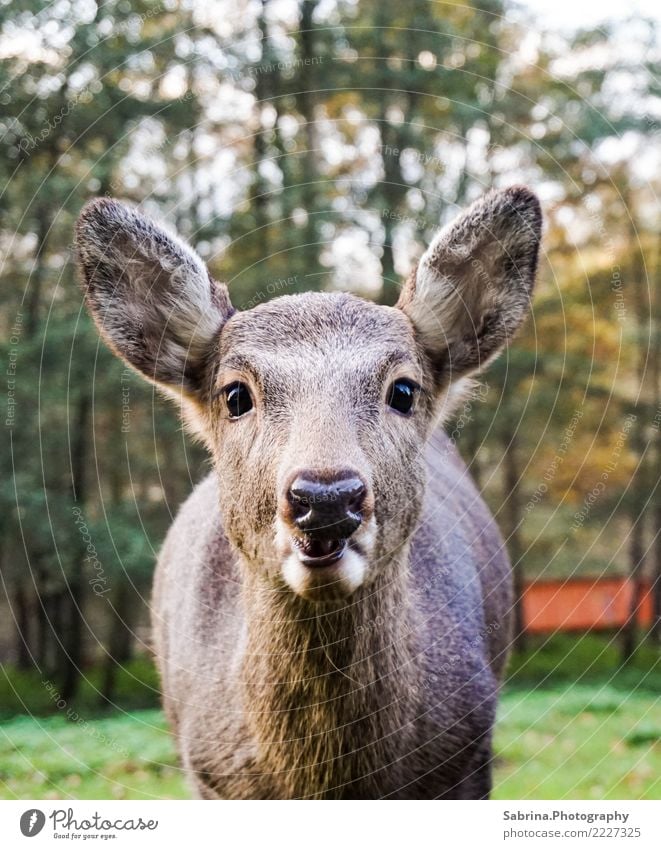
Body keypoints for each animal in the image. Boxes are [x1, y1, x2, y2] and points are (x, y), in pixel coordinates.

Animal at [76, 184, 540, 796]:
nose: (326, 497)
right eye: (235, 395)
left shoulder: (467, 754)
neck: (325, 779)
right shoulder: (207, 773)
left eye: (404, 389)